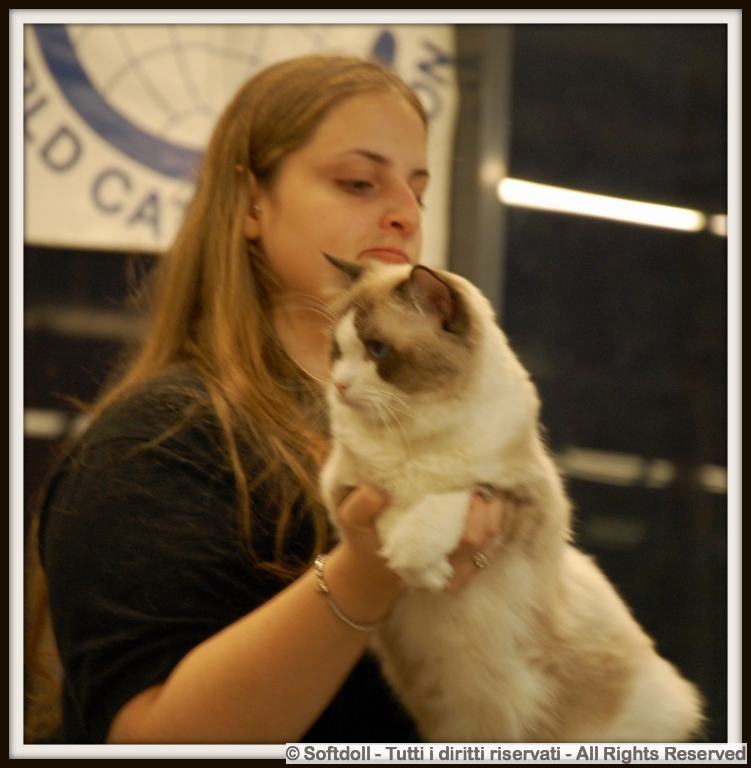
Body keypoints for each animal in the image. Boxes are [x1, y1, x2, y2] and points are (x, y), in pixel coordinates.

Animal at [319, 255, 704, 743]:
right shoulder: (343, 490)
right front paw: (419, 566)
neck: (416, 432)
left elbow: (454, 494)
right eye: (337, 351)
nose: (339, 385)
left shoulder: (519, 496)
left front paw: (418, 557)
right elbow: (390, 508)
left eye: (378, 351)